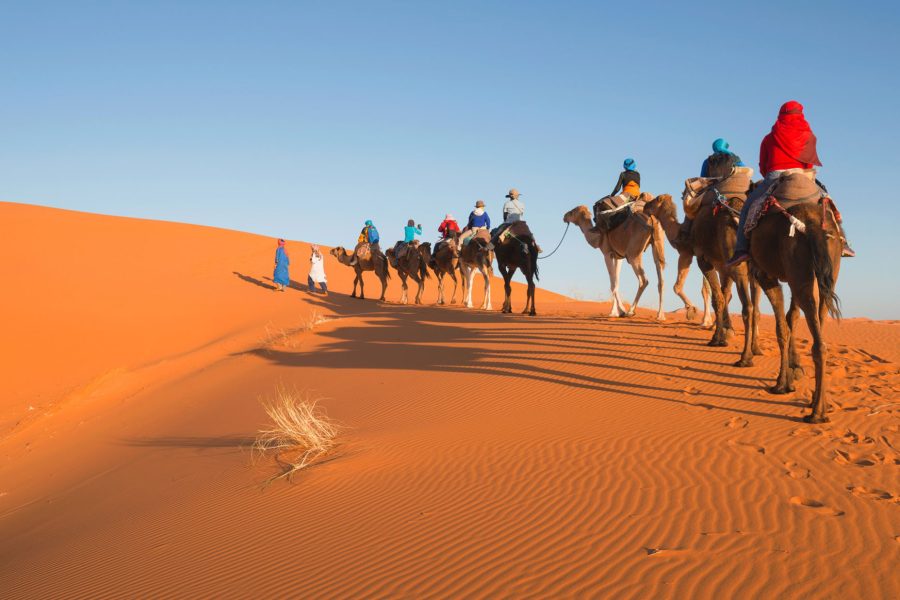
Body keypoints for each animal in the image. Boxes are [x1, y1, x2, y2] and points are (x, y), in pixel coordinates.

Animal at [643, 193, 761, 366]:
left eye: (655, 200)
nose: (644, 205)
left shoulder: (698, 257)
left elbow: (712, 296)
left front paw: (713, 334)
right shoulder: (722, 266)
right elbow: (724, 295)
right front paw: (724, 332)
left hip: (736, 262)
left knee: (748, 306)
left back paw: (745, 357)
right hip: (755, 267)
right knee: (756, 307)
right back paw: (756, 348)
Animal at [750, 201, 842, 423]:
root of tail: (813, 224)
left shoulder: (764, 274)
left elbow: (782, 328)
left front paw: (781, 384)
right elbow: (791, 319)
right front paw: (791, 376)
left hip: (797, 272)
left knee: (816, 340)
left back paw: (816, 413)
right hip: (827, 274)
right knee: (820, 326)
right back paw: (819, 403)